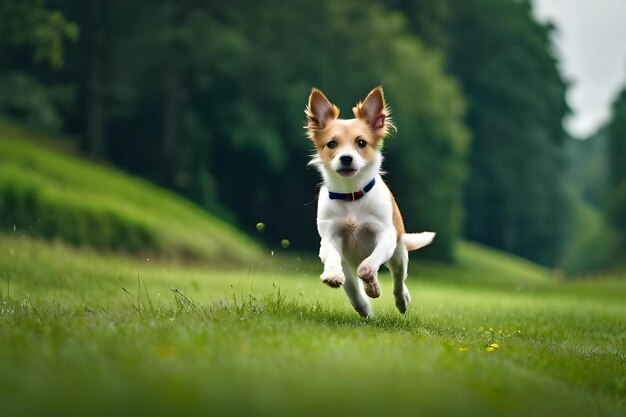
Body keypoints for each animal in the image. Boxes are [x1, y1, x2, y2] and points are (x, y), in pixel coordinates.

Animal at [304, 87, 432, 316]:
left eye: (361, 143)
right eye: (332, 144)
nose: (346, 158)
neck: (351, 194)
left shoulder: (386, 235)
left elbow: (367, 266)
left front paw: (373, 286)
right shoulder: (329, 236)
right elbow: (333, 257)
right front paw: (332, 274)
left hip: (399, 253)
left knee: (398, 280)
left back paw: (401, 300)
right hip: (350, 265)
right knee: (351, 287)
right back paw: (363, 306)